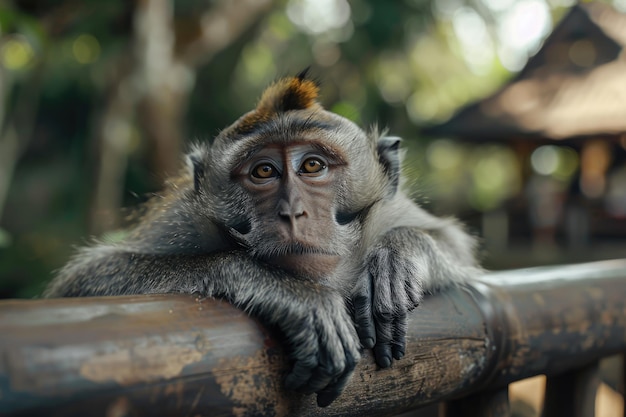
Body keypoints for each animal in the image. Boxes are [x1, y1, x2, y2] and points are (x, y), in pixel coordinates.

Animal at [45, 71, 478, 406]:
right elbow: (87, 278)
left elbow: (454, 244)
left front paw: (396, 256)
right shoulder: (186, 219)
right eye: (264, 171)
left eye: (313, 165)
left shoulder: (389, 210)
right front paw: (288, 291)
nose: (292, 212)